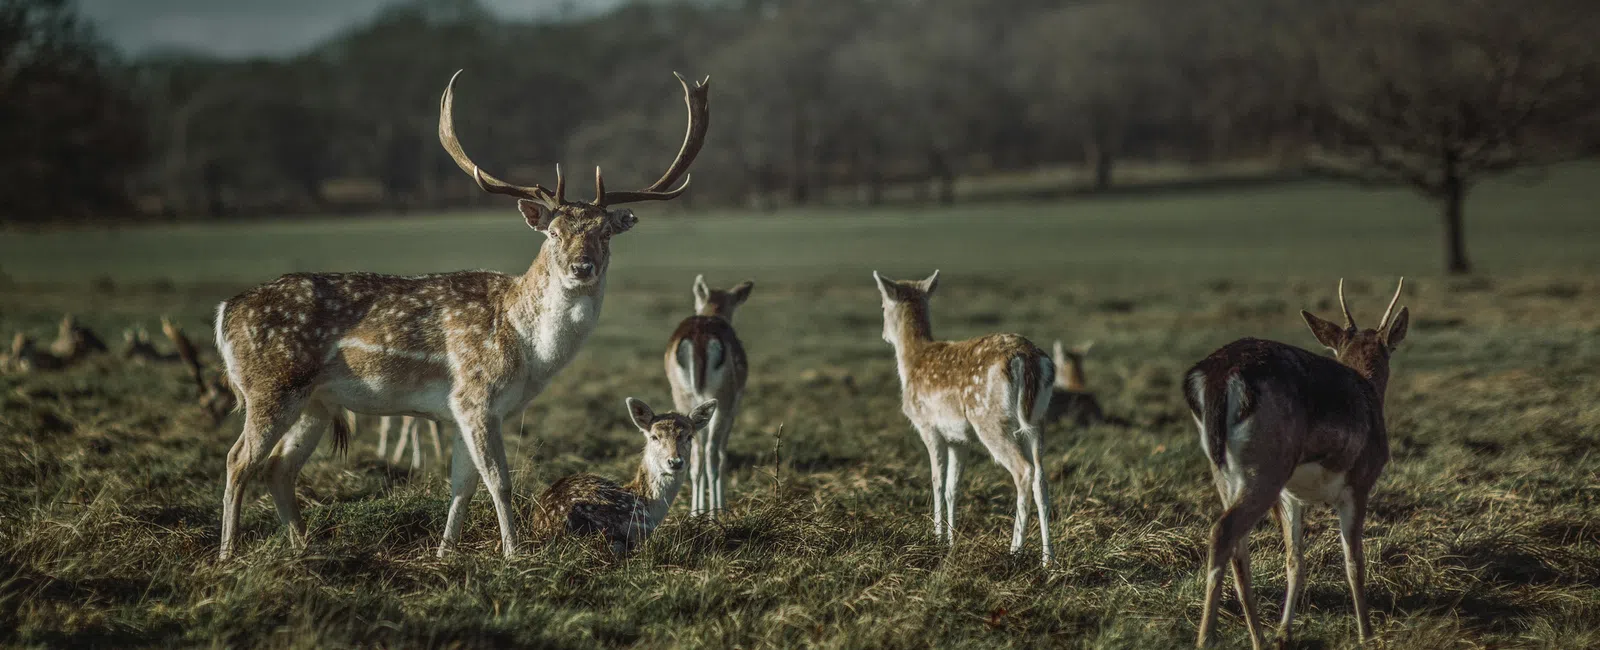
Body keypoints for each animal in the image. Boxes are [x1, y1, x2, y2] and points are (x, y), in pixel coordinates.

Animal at [665, 275, 752, 517]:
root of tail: (699, 339)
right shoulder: (732, 407)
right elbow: (721, 454)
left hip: (683, 398)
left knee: (695, 455)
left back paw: (696, 513)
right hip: (722, 400)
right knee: (713, 453)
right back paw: (715, 513)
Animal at [872, 270, 1056, 567]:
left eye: (882, 306)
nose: (884, 334)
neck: (912, 361)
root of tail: (1028, 360)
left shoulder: (929, 427)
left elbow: (936, 482)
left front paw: (936, 538)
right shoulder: (959, 439)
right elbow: (952, 487)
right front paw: (951, 540)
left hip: (990, 419)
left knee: (1024, 471)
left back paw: (1014, 551)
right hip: (1038, 420)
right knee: (1041, 477)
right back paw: (1048, 560)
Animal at [1184, 279, 1408, 649]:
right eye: (1389, 350)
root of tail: (1217, 376)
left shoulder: (1291, 497)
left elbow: (1295, 560)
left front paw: (1284, 632)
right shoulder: (1359, 483)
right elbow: (1354, 560)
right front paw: (1366, 633)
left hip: (1225, 473)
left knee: (1238, 548)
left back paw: (1259, 637)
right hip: (1266, 470)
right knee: (1222, 532)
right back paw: (1206, 638)